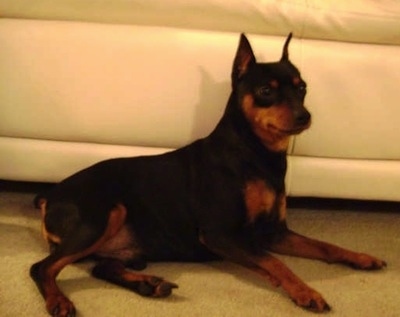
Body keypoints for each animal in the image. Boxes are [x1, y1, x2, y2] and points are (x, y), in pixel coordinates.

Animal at [29, 33, 386, 314]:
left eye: (303, 88)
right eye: (266, 91)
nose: (304, 116)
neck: (256, 153)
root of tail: (50, 196)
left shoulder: (274, 232)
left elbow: (326, 246)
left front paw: (361, 258)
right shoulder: (221, 234)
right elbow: (274, 262)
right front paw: (305, 291)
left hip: (125, 243)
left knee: (103, 267)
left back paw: (149, 284)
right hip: (102, 217)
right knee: (41, 268)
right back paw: (59, 301)